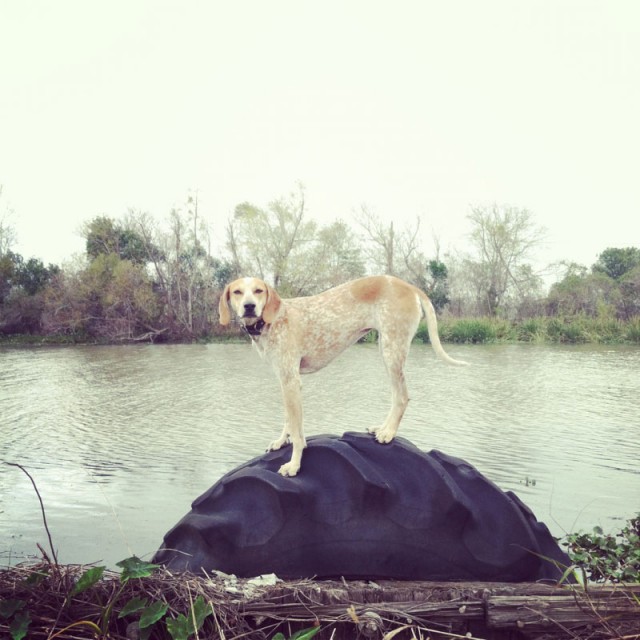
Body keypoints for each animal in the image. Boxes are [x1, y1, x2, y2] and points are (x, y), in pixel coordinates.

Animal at [219, 276, 464, 476]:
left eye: (258, 290)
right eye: (237, 292)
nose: (249, 306)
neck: (273, 321)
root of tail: (408, 285)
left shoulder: (291, 381)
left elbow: (297, 433)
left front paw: (294, 464)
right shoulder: (285, 381)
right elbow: (290, 421)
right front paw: (281, 441)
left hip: (392, 350)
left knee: (402, 396)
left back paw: (388, 433)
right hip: (387, 350)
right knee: (396, 397)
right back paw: (382, 429)